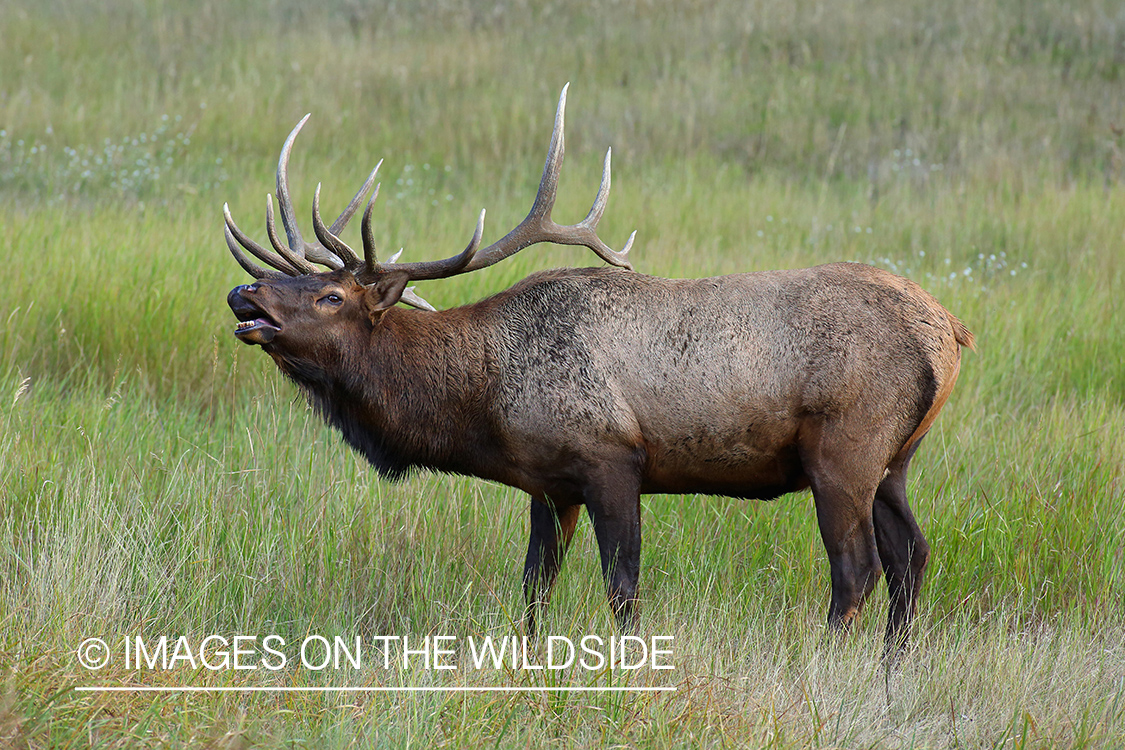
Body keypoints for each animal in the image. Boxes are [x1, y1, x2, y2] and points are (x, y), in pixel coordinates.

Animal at [223, 84, 972, 652]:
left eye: (332, 295)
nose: (243, 293)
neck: (484, 401)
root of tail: (950, 331)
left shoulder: (612, 457)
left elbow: (622, 590)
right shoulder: (549, 484)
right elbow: (534, 589)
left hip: (844, 446)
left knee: (857, 569)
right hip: (895, 458)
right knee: (911, 555)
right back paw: (891, 670)